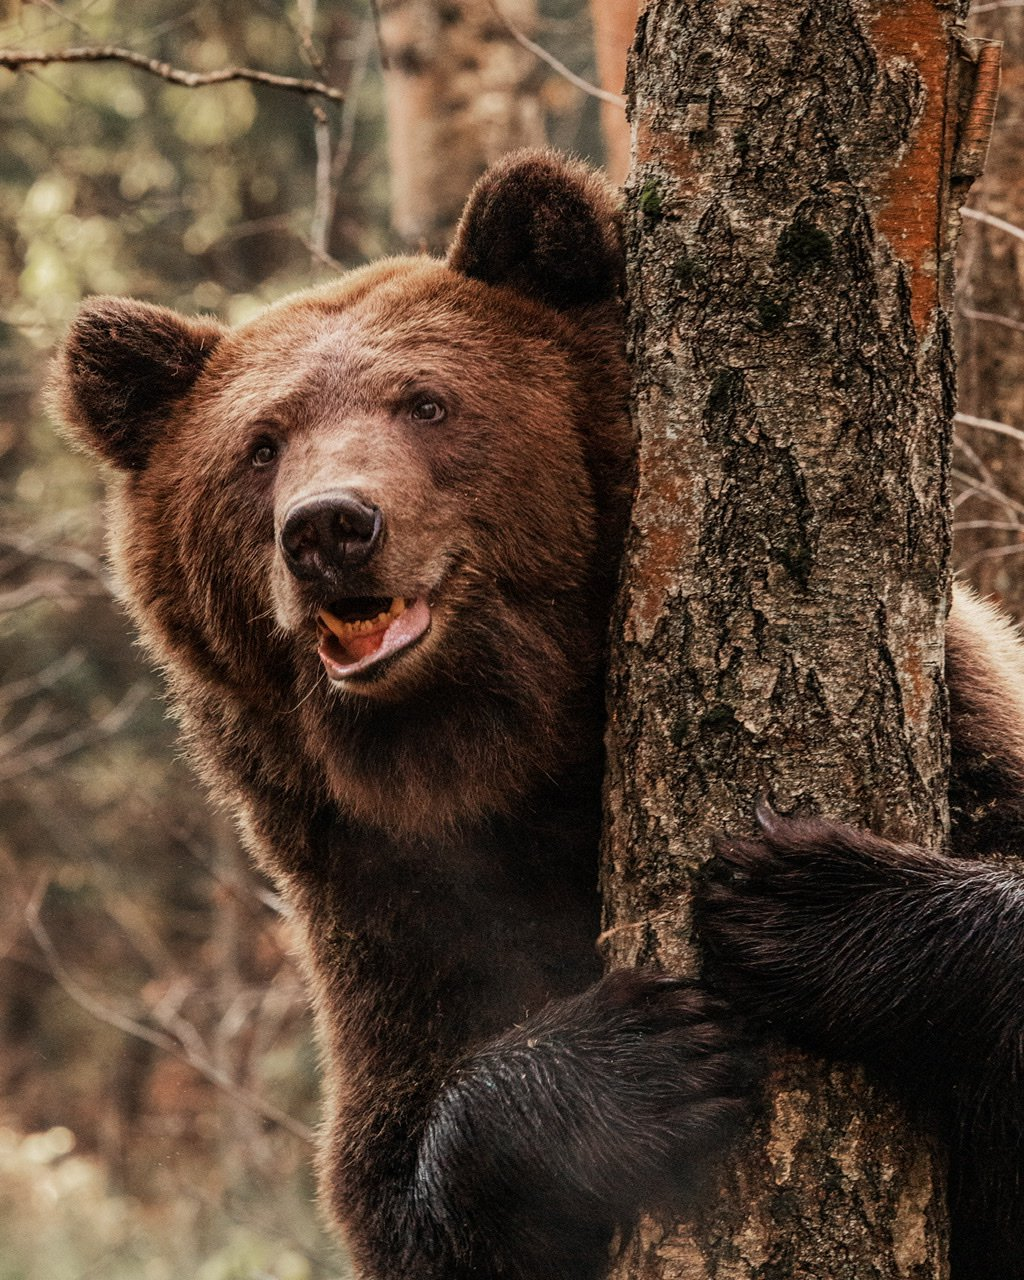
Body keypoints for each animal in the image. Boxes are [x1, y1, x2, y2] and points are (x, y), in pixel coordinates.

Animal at [51, 152, 1024, 1280]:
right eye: (260, 445)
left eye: (425, 401)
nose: (329, 526)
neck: (497, 745)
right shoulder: (394, 903)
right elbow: (397, 1179)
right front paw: (642, 1055)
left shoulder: (976, 733)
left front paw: (801, 893)